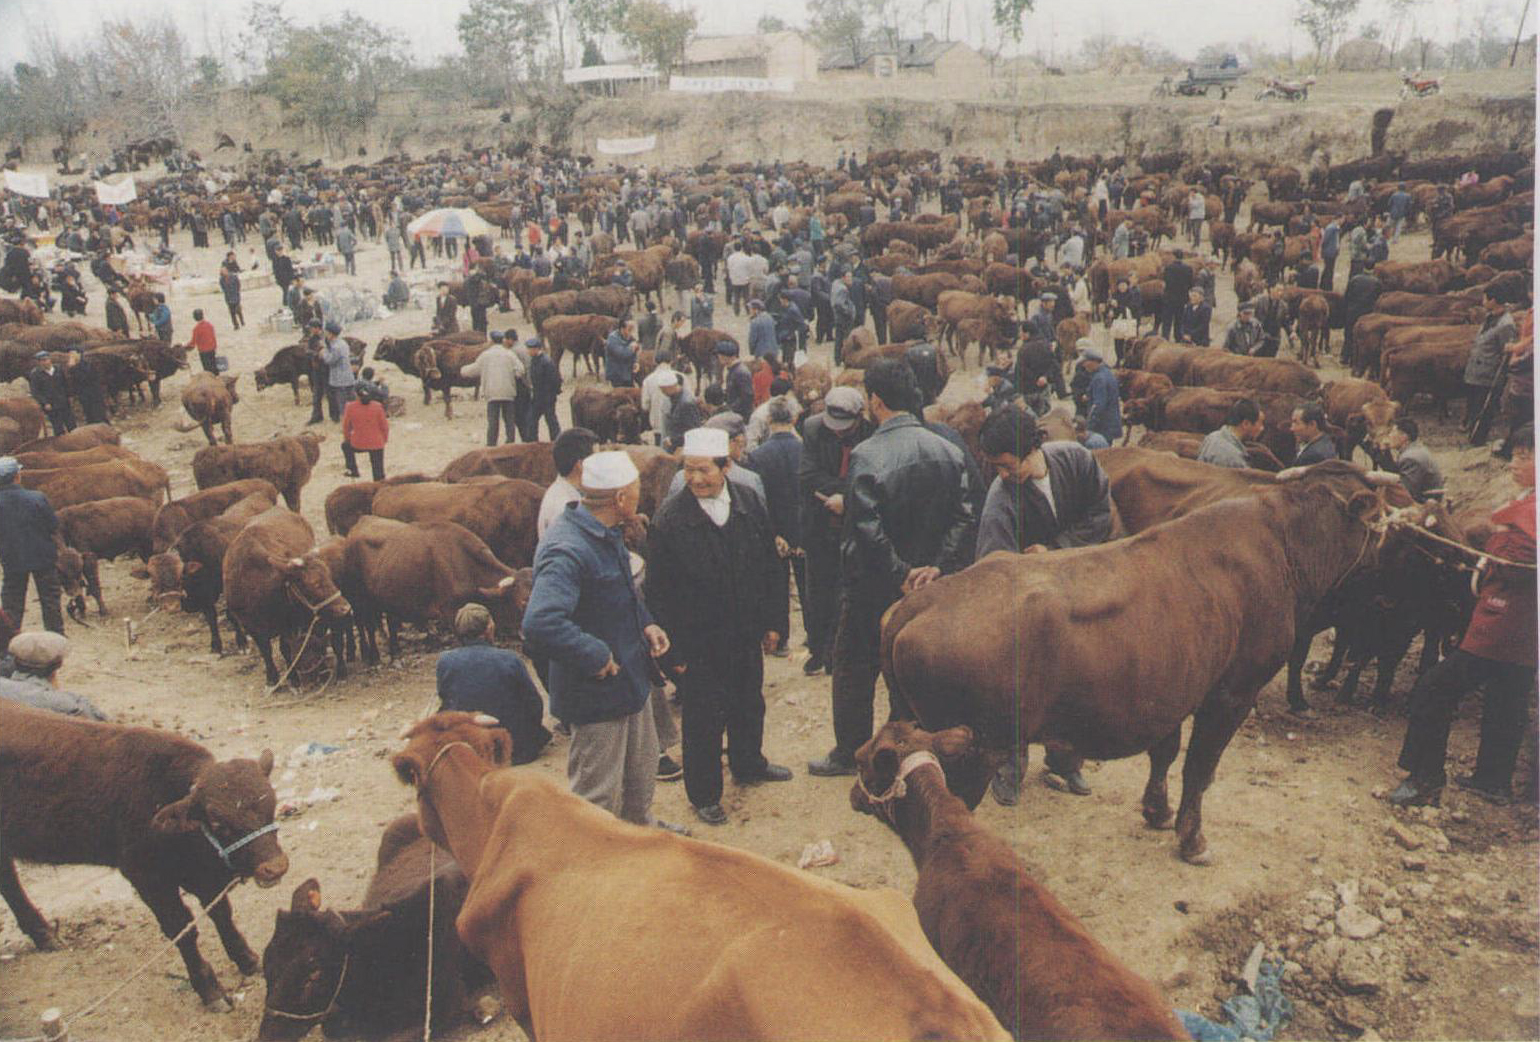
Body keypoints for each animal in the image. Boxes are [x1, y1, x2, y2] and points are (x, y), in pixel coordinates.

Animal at [0, 698, 286, 1009]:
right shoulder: (147, 877)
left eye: (271, 804)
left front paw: (247, 960)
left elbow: (221, 914)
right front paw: (211, 991)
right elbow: (183, 929)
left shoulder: (202, 877)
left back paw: (46, 935)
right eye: (218, 821)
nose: (275, 867)